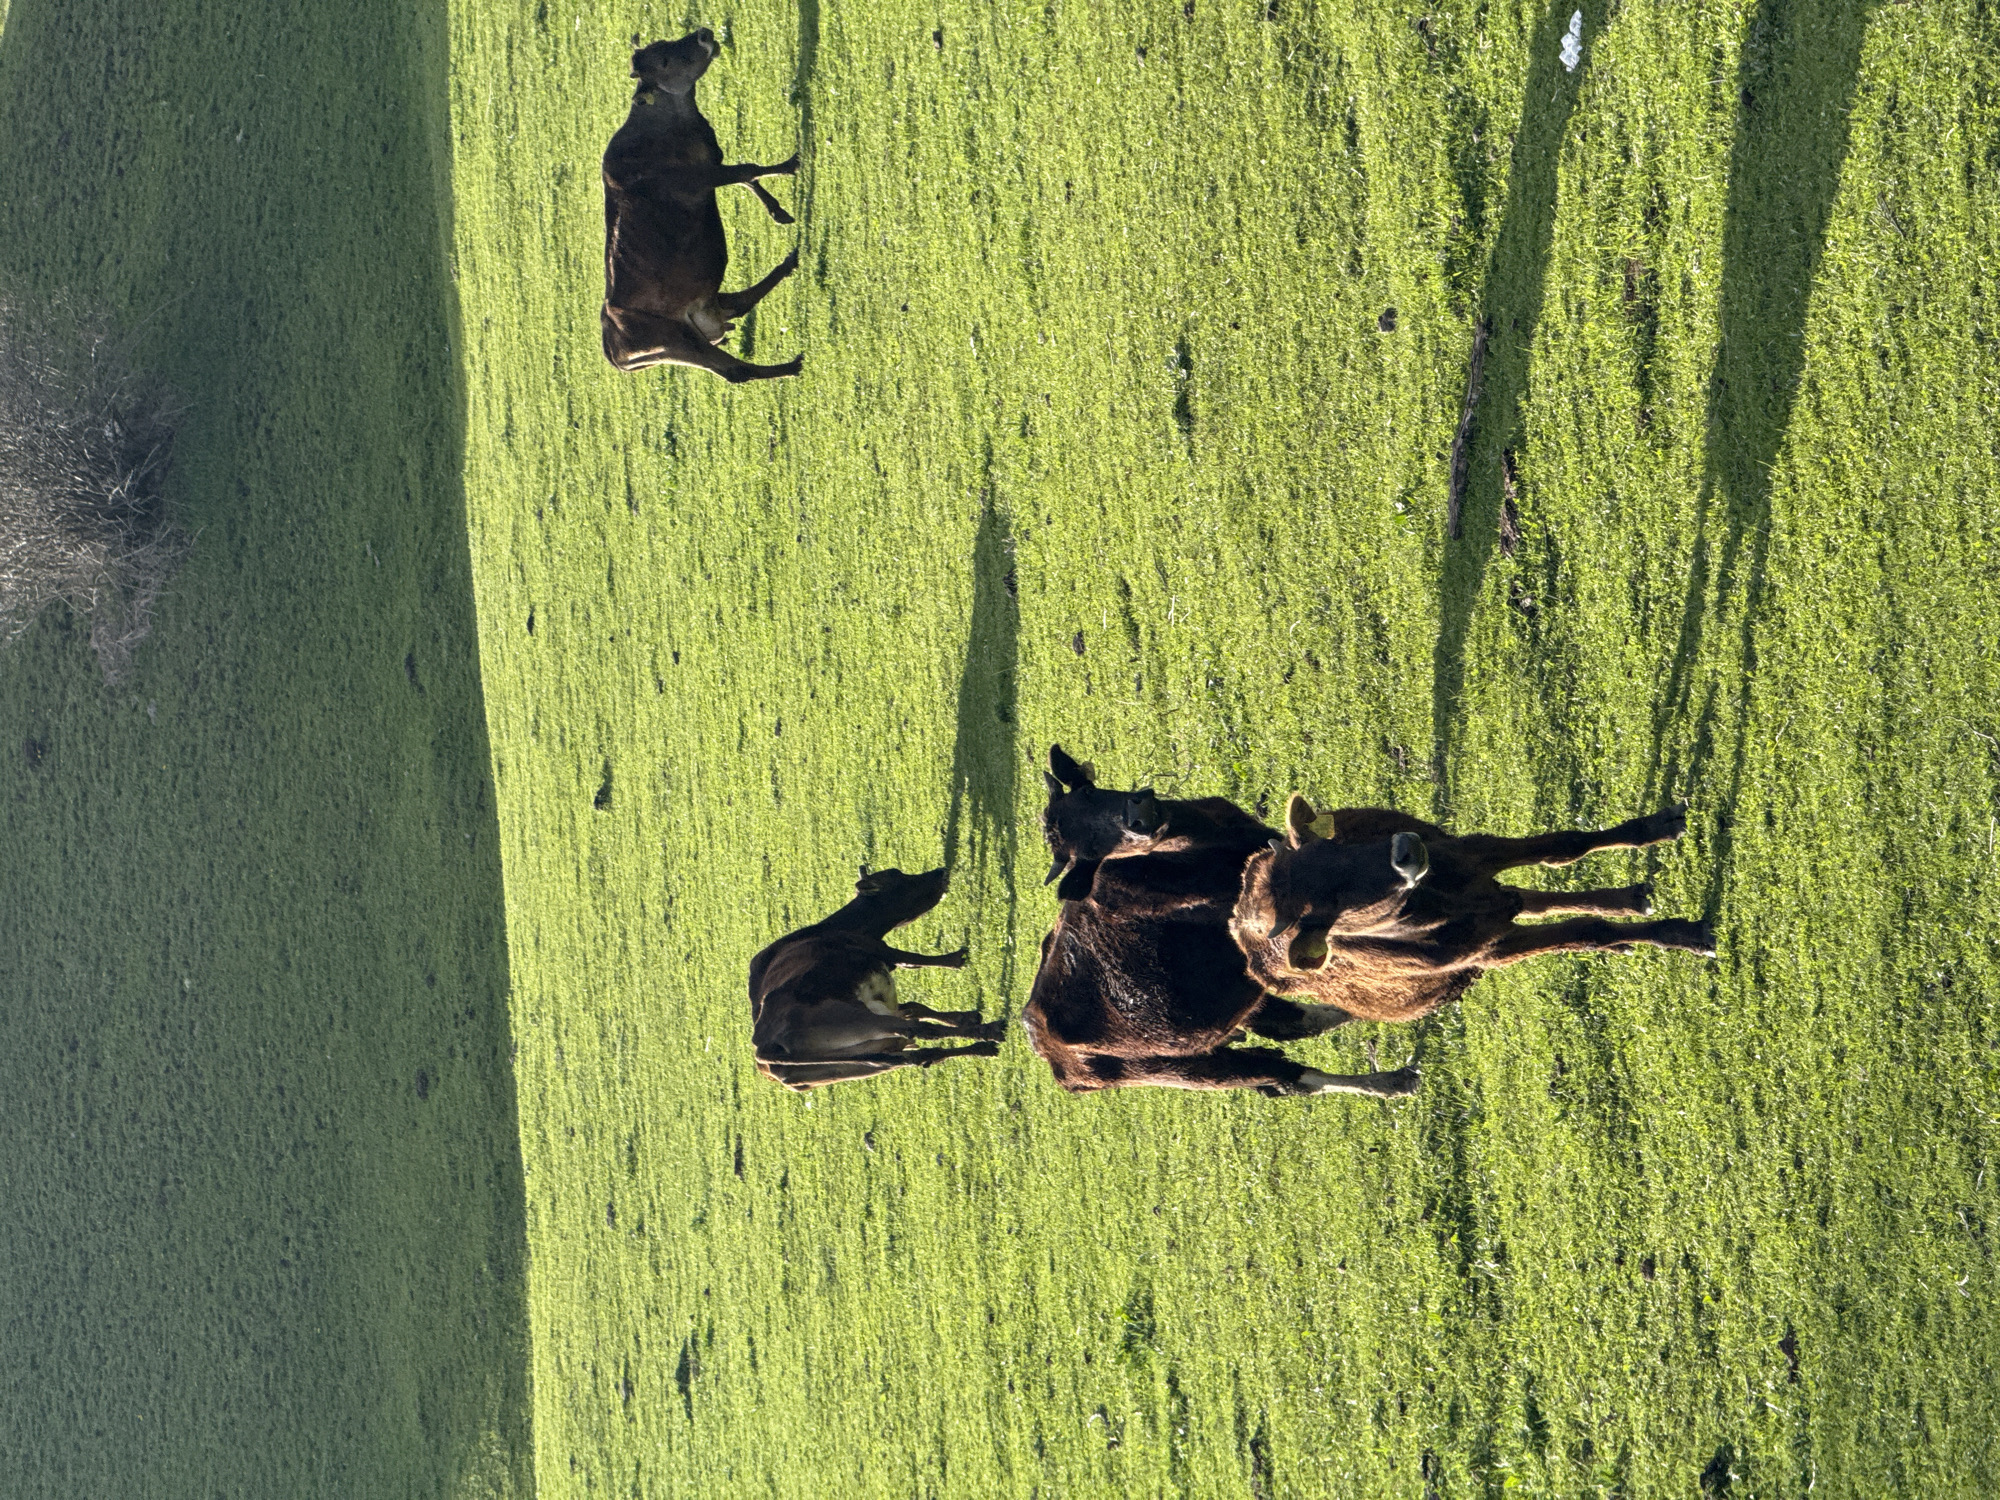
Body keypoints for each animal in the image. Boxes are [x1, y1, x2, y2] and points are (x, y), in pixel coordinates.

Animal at [600, 30, 804, 381]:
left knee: (737, 303)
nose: (703, 34)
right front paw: (791, 165)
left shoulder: (712, 164)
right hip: (678, 340)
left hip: (700, 313)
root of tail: (613, 348)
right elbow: (747, 170)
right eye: (664, 61)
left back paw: (788, 264)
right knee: (736, 370)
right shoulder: (698, 178)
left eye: (665, 42)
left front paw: (778, 211)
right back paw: (792, 366)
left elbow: (747, 178)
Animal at [749, 867, 1005, 1090]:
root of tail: (764, 1046)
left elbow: (915, 1005)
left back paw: (982, 1048)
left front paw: (965, 1016)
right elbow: (912, 960)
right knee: (920, 1030)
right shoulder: (878, 950)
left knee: (917, 1055)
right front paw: (957, 958)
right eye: (898, 877)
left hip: (860, 1061)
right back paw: (989, 1031)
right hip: (855, 1018)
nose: (940, 871)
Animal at [1022, 747, 1421, 1099]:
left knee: (1290, 1031)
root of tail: (1041, 1038)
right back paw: (1393, 1080)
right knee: (1286, 1072)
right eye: (1089, 853)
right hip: (1182, 1068)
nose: (1138, 815)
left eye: (1088, 792)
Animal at [1230, 792, 1715, 1023]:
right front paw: (1687, 934)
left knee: (1533, 900)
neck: (1440, 901)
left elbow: (1564, 845)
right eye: (1328, 909)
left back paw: (1628, 900)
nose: (1406, 851)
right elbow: (1584, 932)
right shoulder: (1492, 951)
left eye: (1334, 845)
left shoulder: (1473, 851)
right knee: (1534, 906)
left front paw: (1658, 825)